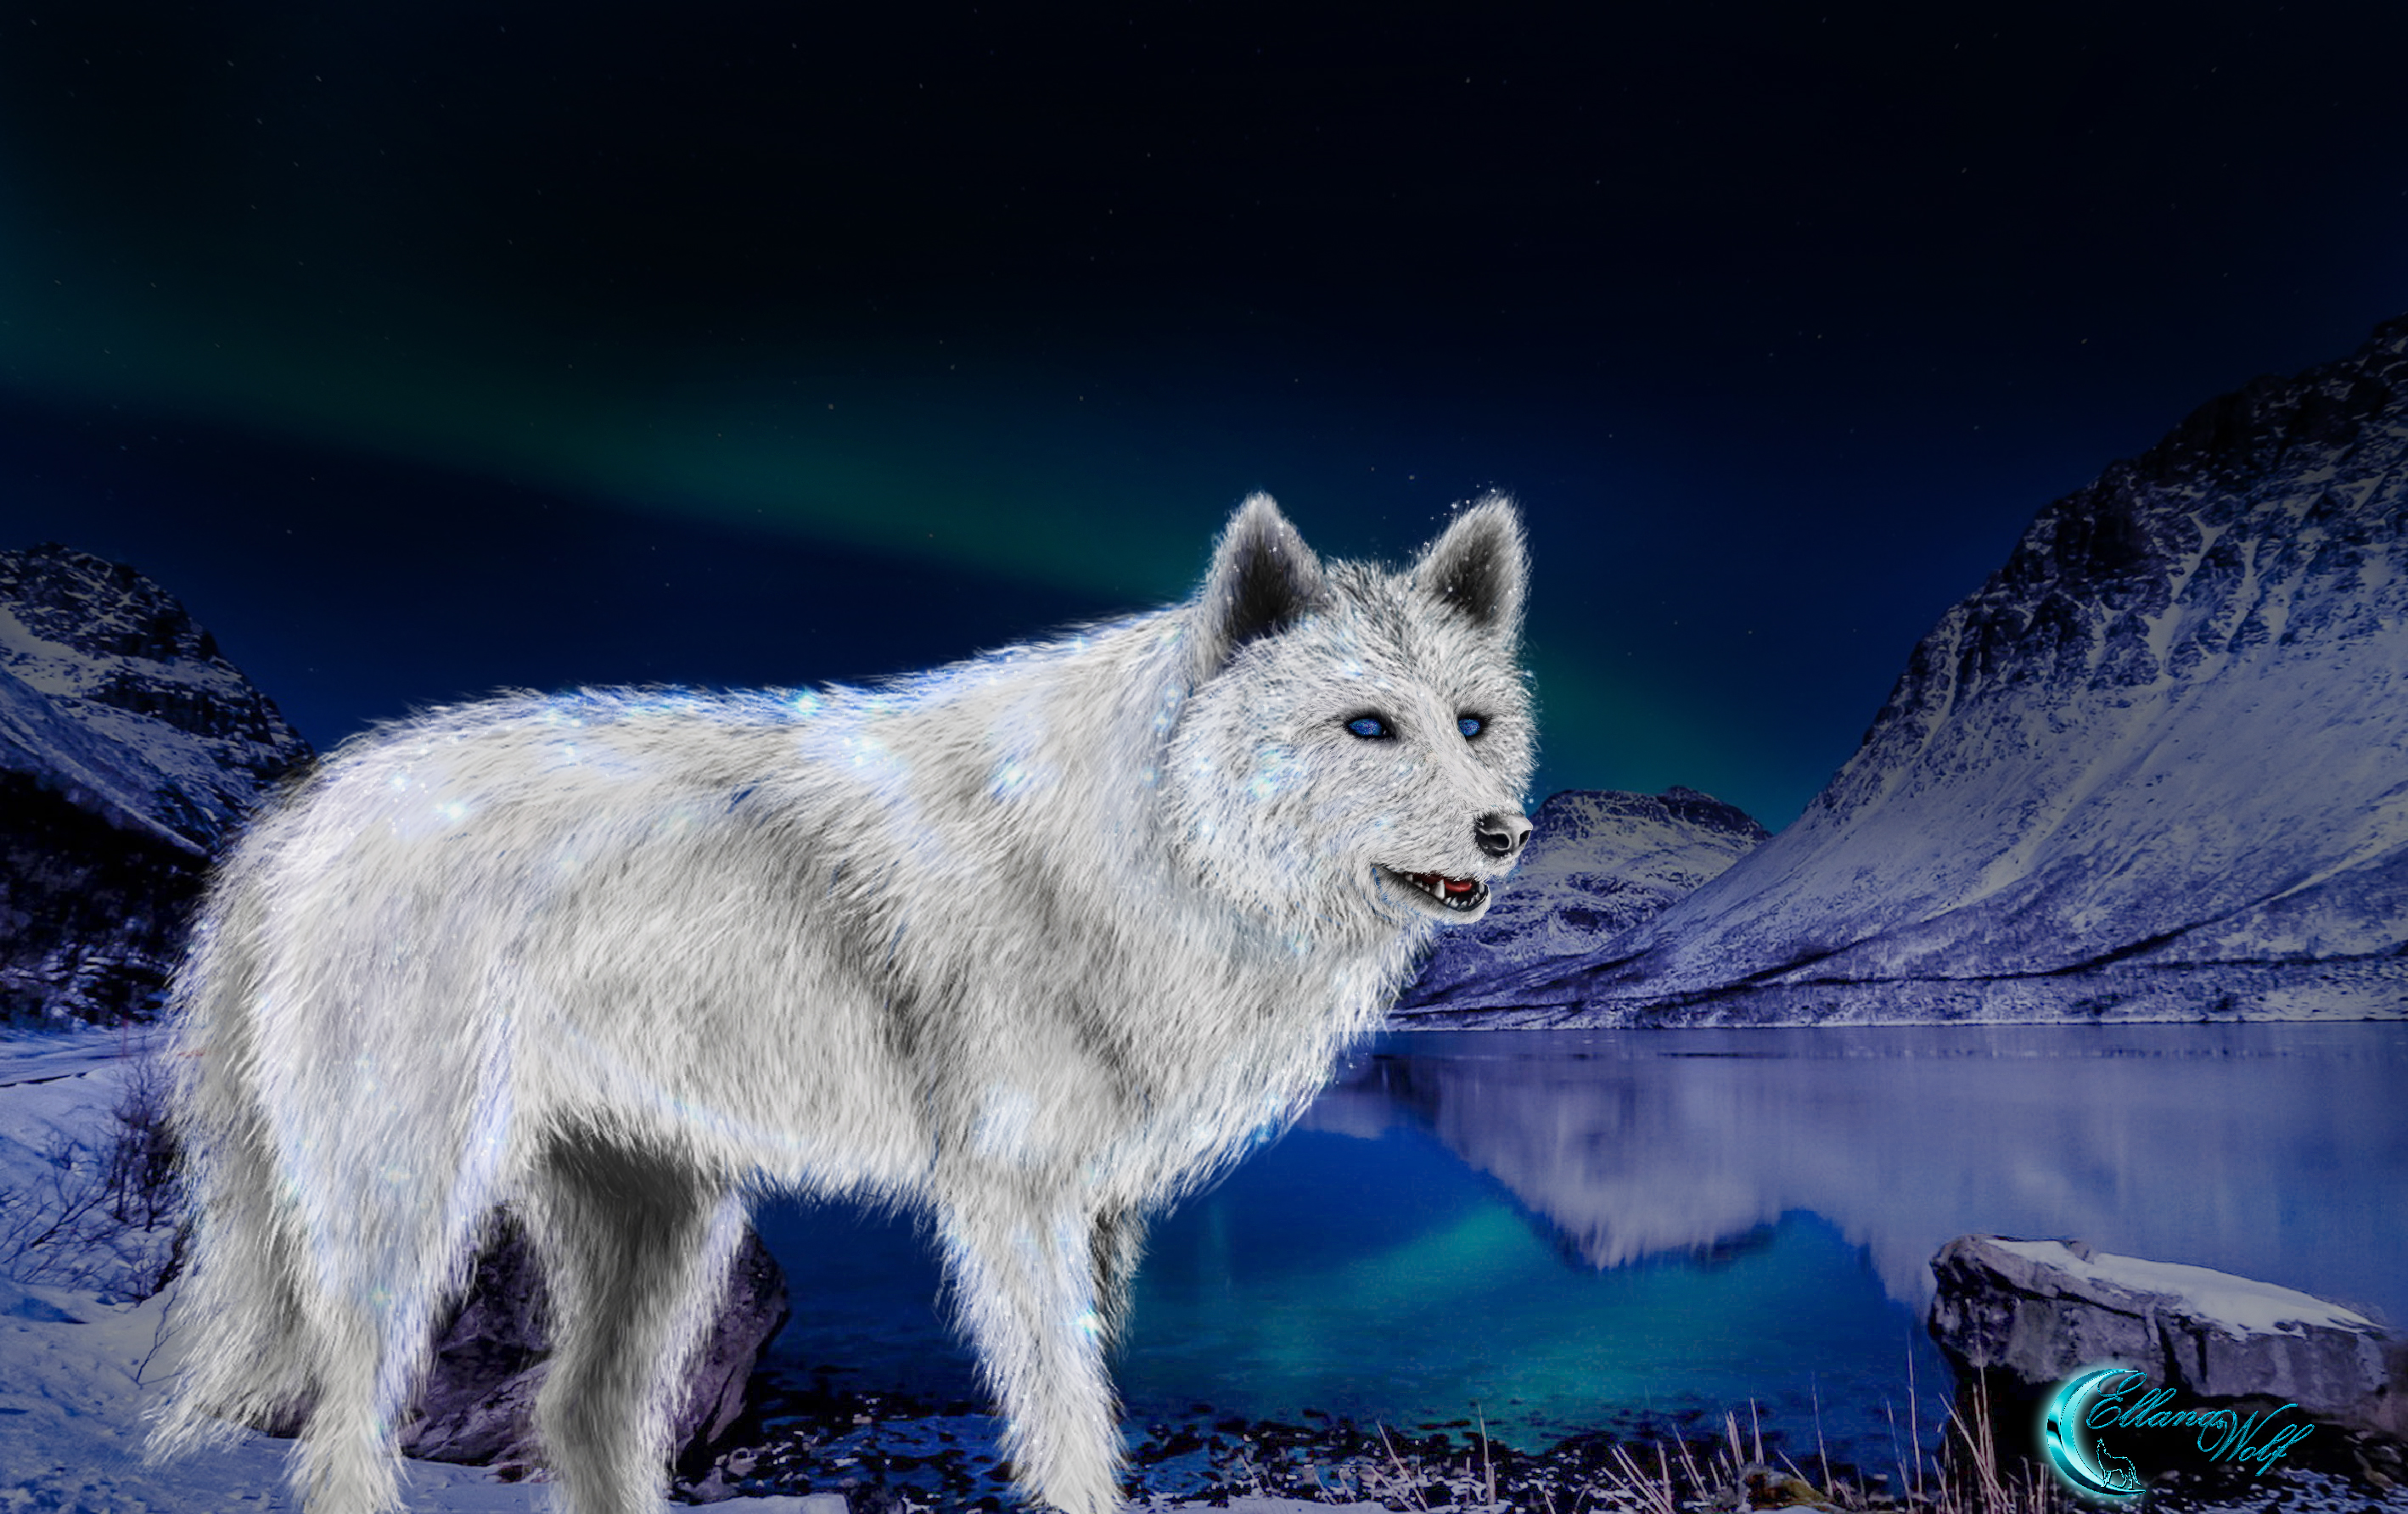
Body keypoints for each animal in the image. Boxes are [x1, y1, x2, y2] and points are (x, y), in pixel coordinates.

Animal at [146, 493, 1536, 1514]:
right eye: (1367, 726)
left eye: (1471, 723)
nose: (1506, 831)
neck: (1158, 849)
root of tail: (308, 808)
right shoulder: (1013, 1204)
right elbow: (1068, 1425)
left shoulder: (1100, 1214)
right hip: (405, 1216)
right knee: (344, 1434)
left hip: (667, 1233)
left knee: (581, 1419)